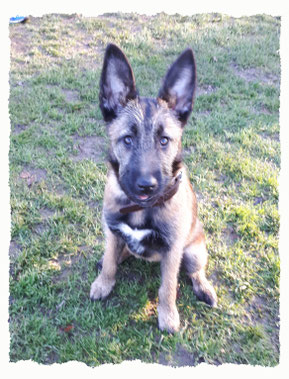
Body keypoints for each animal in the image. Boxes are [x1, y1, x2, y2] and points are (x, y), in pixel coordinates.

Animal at [90, 44, 216, 334]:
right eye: (127, 139)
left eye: (164, 140)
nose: (146, 186)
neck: (141, 208)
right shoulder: (112, 230)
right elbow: (110, 263)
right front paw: (104, 282)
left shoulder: (172, 250)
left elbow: (167, 288)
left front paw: (167, 316)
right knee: (117, 253)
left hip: (193, 251)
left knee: (196, 271)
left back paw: (204, 288)